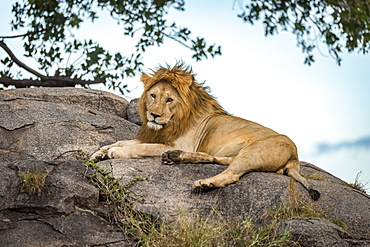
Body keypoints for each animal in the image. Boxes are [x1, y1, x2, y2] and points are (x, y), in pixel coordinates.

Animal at [92, 63, 320, 201]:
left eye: (169, 100)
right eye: (153, 95)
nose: (154, 115)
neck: (175, 120)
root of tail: (295, 155)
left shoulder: (174, 142)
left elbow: (141, 148)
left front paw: (114, 153)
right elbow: (124, 141)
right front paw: (100, 152)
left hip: (253, 152)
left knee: (231, 174)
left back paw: (204, 183)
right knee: (214, 159)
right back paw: (175, 157)